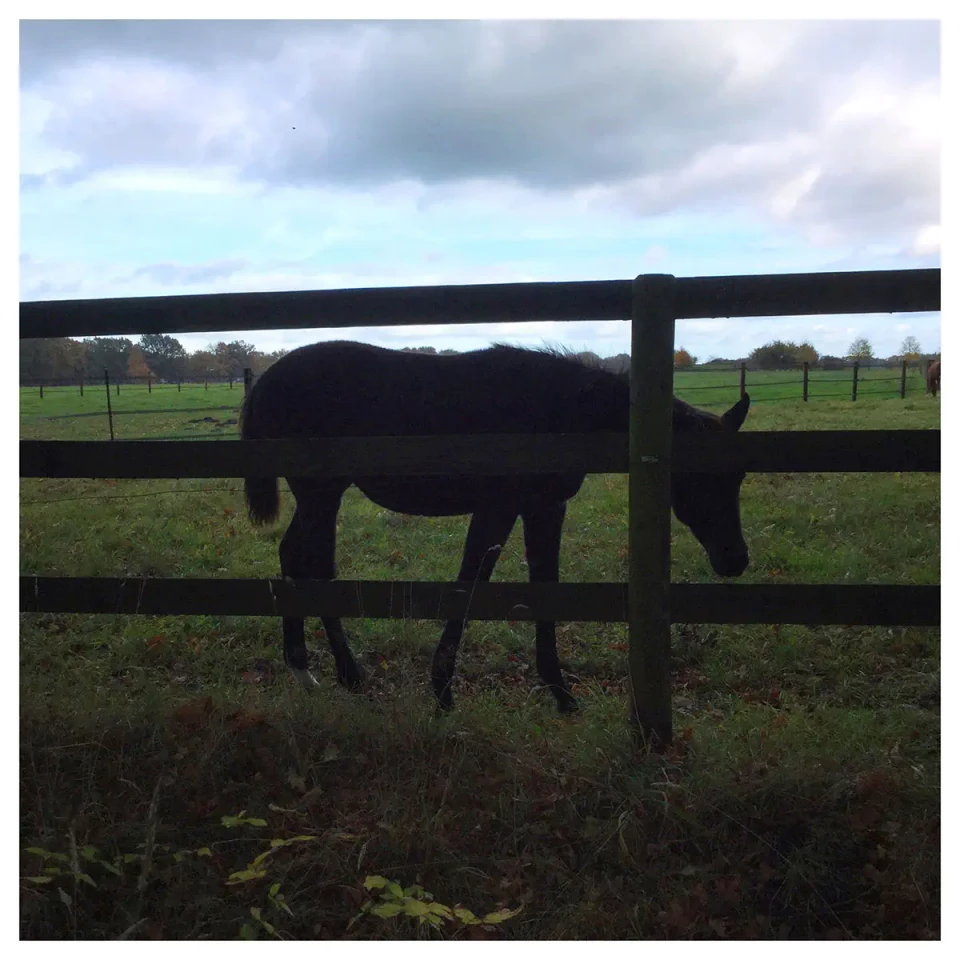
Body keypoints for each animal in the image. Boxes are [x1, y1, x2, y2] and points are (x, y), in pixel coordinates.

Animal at [239, 340, 751, 713]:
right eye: (700, 478)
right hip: (322, 493)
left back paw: (304, 669)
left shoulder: (543, 508)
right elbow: (471, 584)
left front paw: (562, 696)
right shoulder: (498, 508)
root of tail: (266, 381)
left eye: (740, 475)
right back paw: (348, 674)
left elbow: (545, 587)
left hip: (318, 496)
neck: (556, 412)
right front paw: (443, 691)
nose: (735, 559)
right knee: (316, 565)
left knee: (293, 555)